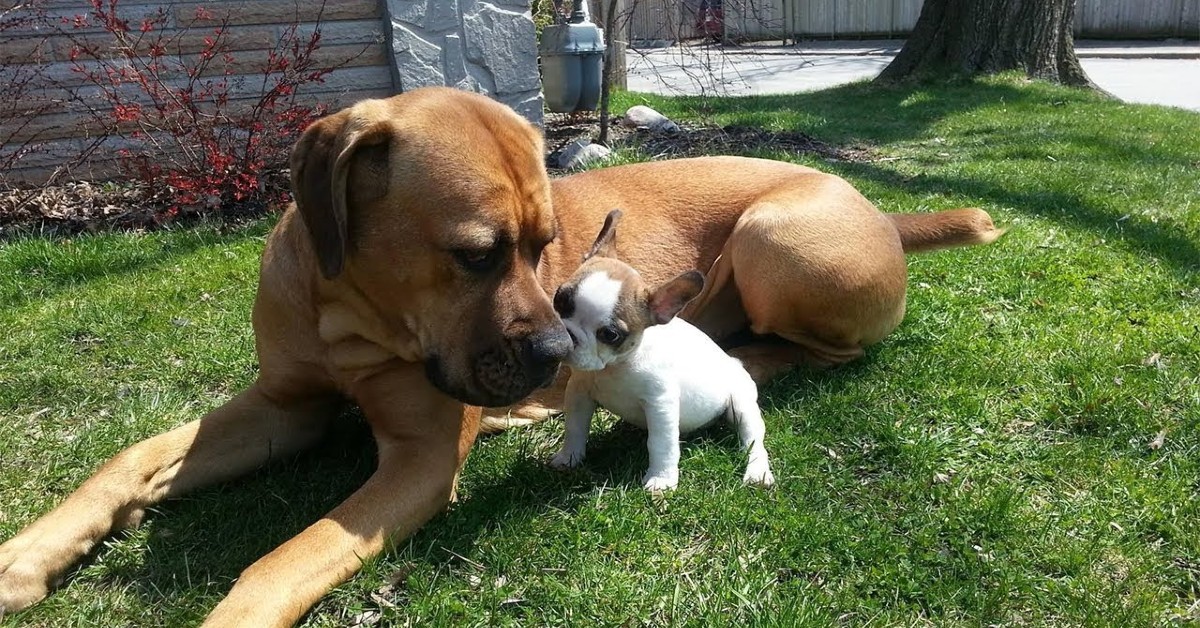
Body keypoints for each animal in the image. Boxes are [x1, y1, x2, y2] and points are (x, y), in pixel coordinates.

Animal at [549, 210, 772, 492]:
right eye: (559, 298)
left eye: (610, 334)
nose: (569, 335)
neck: (617, 367)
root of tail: (733, 362)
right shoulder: (579, 392)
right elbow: (575, 428)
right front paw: (568, 458)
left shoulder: (660, 405)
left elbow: (661, 444)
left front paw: (661, 480)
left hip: (742, 405)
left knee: (753, 440)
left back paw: (758, 471)